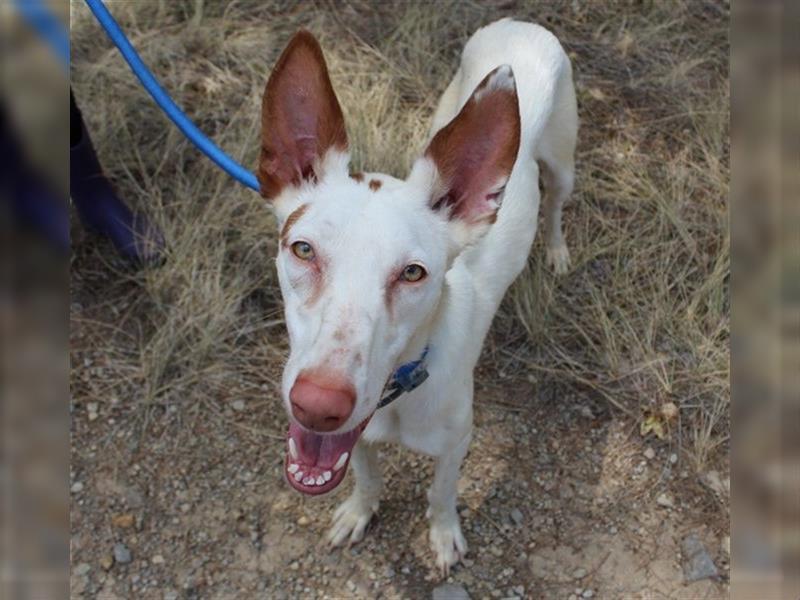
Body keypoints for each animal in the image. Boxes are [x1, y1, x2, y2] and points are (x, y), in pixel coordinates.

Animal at [260, 17, 580, 572]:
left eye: (413, 273)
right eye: (302, 249)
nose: (318, 407)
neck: (398, 395)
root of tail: (519, 22)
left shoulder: (457, 443)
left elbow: (441, 494)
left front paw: (444, 534)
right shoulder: (357, 436)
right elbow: (366, 476)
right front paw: (358, 513)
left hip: (563, 160)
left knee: (557, 204)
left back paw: (557, 250)